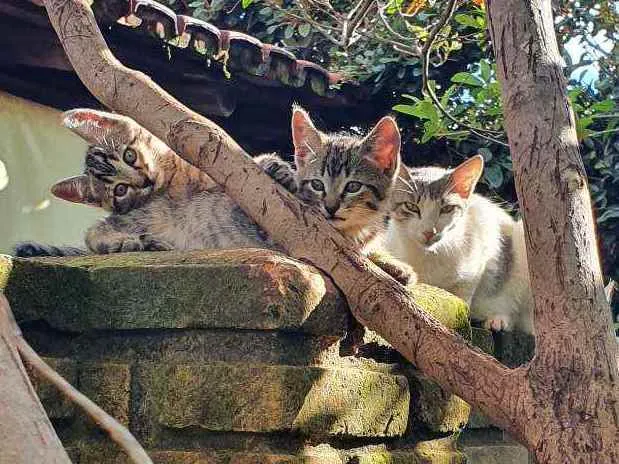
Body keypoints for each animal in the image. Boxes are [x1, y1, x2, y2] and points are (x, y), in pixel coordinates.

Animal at [15, 108, 416, 284]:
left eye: (352, 186)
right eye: (317, 186)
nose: (331, 207)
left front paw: (393, 265)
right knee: (93, 233)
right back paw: (129, 243)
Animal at [388, 156, 532, 334]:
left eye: (447, 208)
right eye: (411, 206)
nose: (429, 232)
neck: (427, 255)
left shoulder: (477, 257)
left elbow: (462, 299)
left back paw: (498, 319)